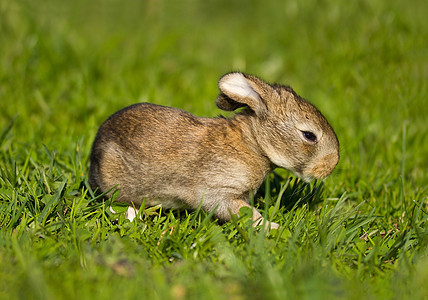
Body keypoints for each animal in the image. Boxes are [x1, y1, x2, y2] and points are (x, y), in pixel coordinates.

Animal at [88, 72, 340, 230]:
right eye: (309, 135)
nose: (331, 165)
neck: (253, 143)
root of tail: (95, 156)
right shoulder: (219, 192)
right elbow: (246, 212)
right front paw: (271, 227)